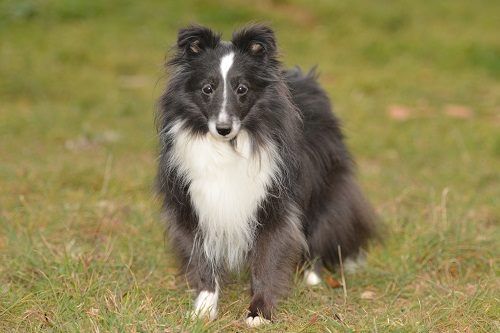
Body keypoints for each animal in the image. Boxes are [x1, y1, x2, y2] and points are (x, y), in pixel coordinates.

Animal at [154, 24, 376, 326]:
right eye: (207, 89)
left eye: (242, 89)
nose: (223, 128)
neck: (231, 146)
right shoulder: (193, 204)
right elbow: (201, 259)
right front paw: (203, 310)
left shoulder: (272, 202)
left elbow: (266, 259)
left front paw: (258, 314)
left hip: (322, 185)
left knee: (320, 225)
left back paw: (313, 277)